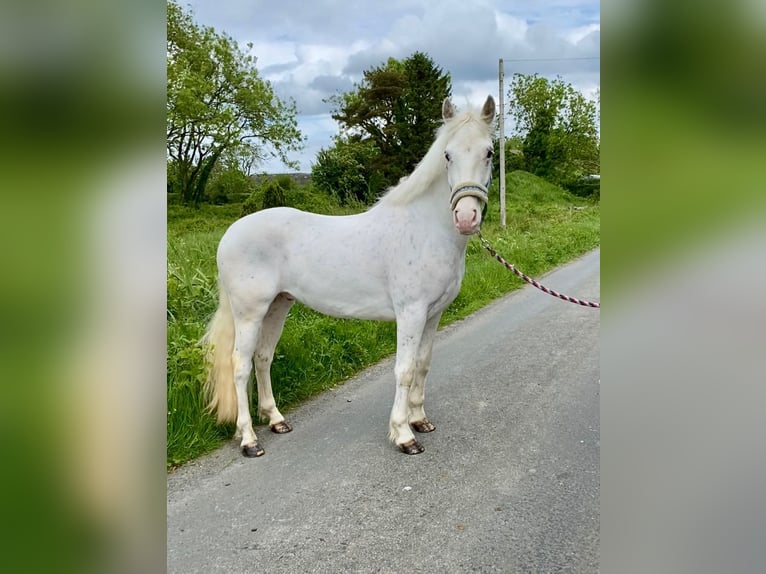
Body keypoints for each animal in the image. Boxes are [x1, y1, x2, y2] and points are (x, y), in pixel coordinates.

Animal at [202, 98, 498, 460]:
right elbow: (404, 369)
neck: (424, 228)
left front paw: (419, 419)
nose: (466, 218)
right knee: (240, 365)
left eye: (488, 152)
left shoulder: (433, 314)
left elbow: (423, 364)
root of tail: (230, 234)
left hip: (277, 306)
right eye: (447, 155)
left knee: (263, 357)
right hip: (249, 312)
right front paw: (404, 434)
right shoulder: (411, 313)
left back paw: (276, 420)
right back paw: (248, 439)